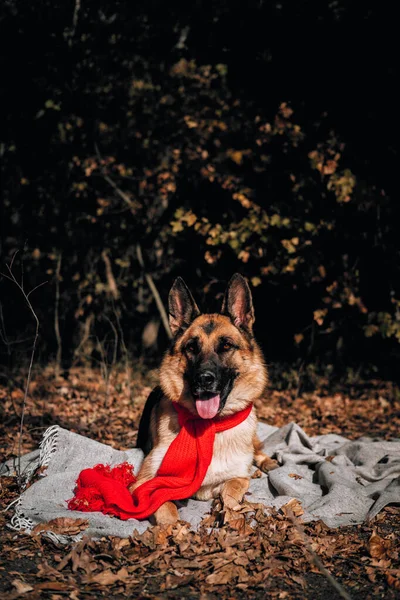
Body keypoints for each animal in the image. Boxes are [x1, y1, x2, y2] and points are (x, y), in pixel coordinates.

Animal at [131, 274, 276, 524]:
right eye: (191, 347)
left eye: (226, 345)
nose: (204, 379)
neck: (210, 426)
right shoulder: (143, 483)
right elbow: (164, 508)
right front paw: (172, 529)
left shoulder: (238, 477)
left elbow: (232, 491)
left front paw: (230, 514)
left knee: (257, 450)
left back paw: (268, 462)